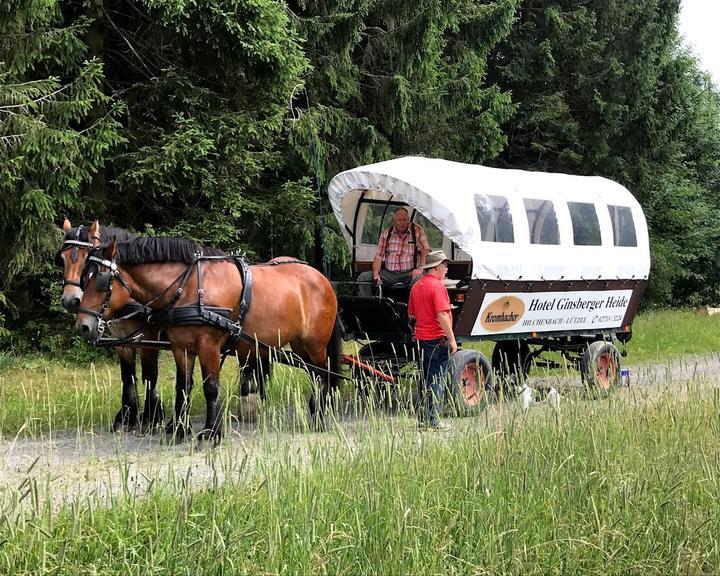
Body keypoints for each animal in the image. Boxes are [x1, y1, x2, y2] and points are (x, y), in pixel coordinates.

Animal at [56, 220, 165, 432]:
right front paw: (127, 416)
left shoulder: (149, 339)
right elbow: (128, 375)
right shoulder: (121, 341)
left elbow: (150, 375)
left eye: (86, 259)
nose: (70, 301)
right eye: (63, 259)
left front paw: (153, 417)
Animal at [74, 230, 344, 440]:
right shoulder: (181, 346)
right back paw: (314, 411)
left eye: (101, 280)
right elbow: (183, 386)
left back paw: (320, 417)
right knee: (314, 375)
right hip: (298, 345)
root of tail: (322, 278)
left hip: (315, 344)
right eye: (83, 277)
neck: (188, 287)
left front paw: (211, 432)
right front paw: (178, 429)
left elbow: (211, 387)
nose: (83, 326)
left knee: (323, 374)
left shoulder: (209, 345)